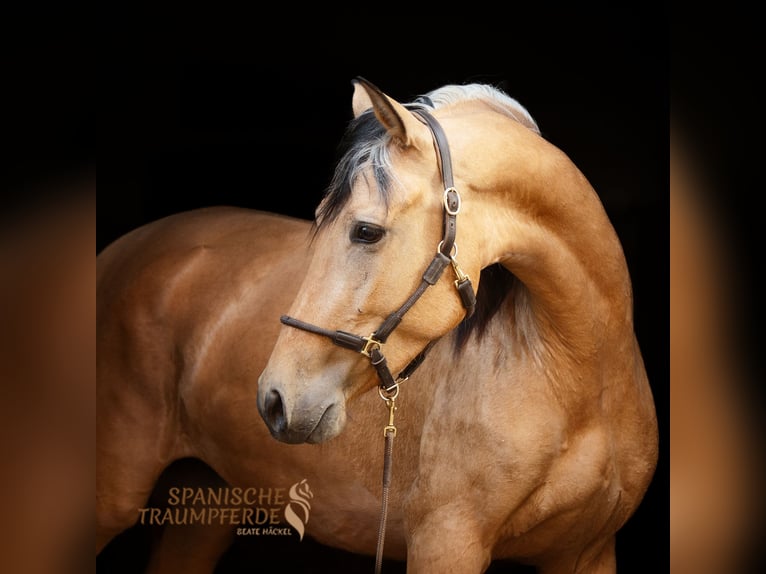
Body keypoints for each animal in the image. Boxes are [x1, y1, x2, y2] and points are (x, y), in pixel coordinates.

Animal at [96, 78, 658, 573]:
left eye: (365, 230)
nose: (274, 399)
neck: (579, 379)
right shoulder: (447, 546)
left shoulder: (587, 554)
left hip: (207, 501)